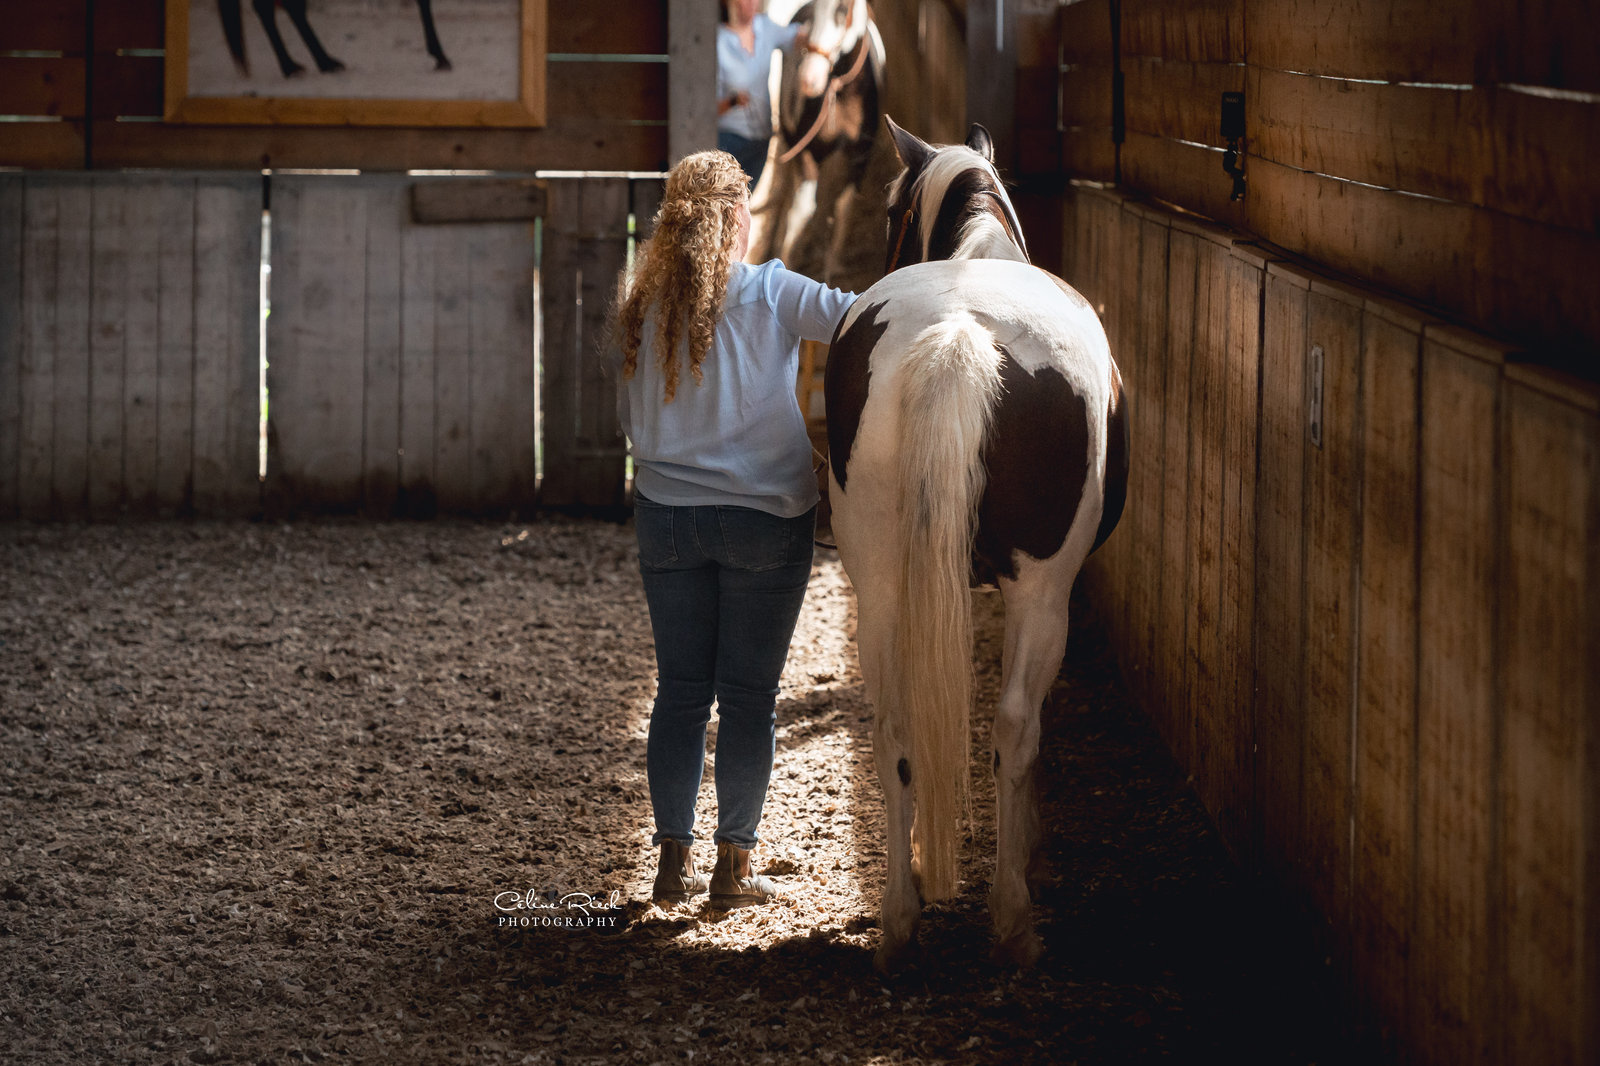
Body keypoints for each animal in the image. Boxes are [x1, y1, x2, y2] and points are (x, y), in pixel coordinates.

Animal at [753, 0, 885, 284]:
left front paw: (832, 267)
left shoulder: (860, 153)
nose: (809, 78)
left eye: (843, 9)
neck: (841, 93)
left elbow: (843, 205)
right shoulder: (807, 151)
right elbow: (802, 210)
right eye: (815, 9)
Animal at [824, 118, 1129, 972]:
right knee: (1015, 728)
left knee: (893, 729)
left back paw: (899, 920)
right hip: (1043, 596)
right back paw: (1013, 921)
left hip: (879, 585)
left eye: (888, 209)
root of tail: (959, 335)